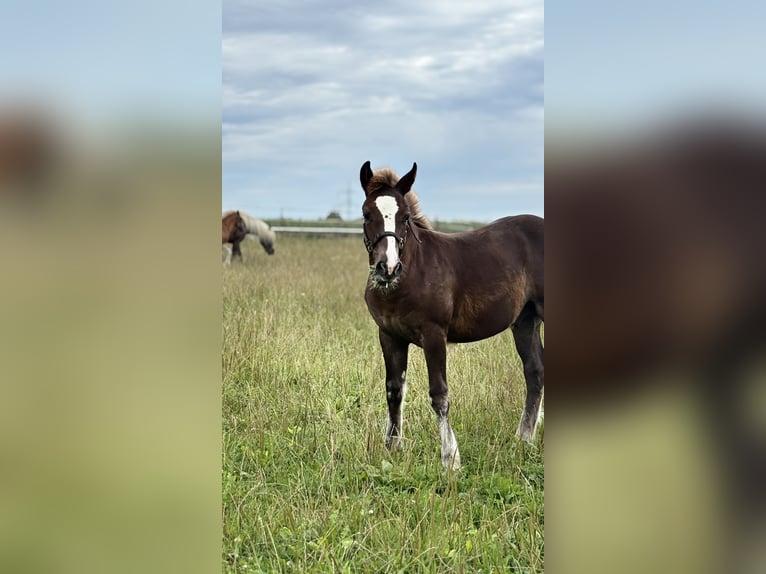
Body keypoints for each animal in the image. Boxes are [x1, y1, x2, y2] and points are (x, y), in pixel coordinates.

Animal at [360, 161, 544, 470]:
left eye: (405, 217)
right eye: (366, 214)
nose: (388, 268)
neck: (413, 273)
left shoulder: (434, 334)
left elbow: (439, 394)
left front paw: (450, 458)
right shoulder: (389, 335)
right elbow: (393, 390)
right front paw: (393, 447)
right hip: (525, 321)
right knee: (535, 372)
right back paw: (524, 438)